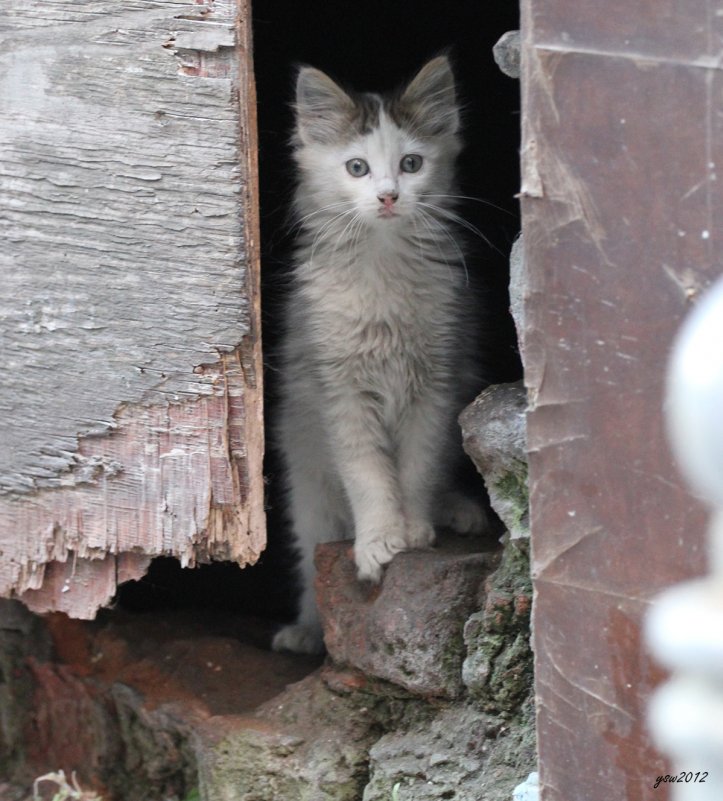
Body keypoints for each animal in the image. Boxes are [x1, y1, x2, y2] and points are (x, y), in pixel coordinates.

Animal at [274, 57, 490, 656]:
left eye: (410, 164)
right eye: (357, 168)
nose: (390, 196)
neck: (383, 263)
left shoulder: (436, 383)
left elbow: (416, 468)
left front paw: (412, 527)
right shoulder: (340, 391)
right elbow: (369, 474)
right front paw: (378, 540)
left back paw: (456, 508)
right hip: (309, 491)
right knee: (312, 557)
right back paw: (307, 629)